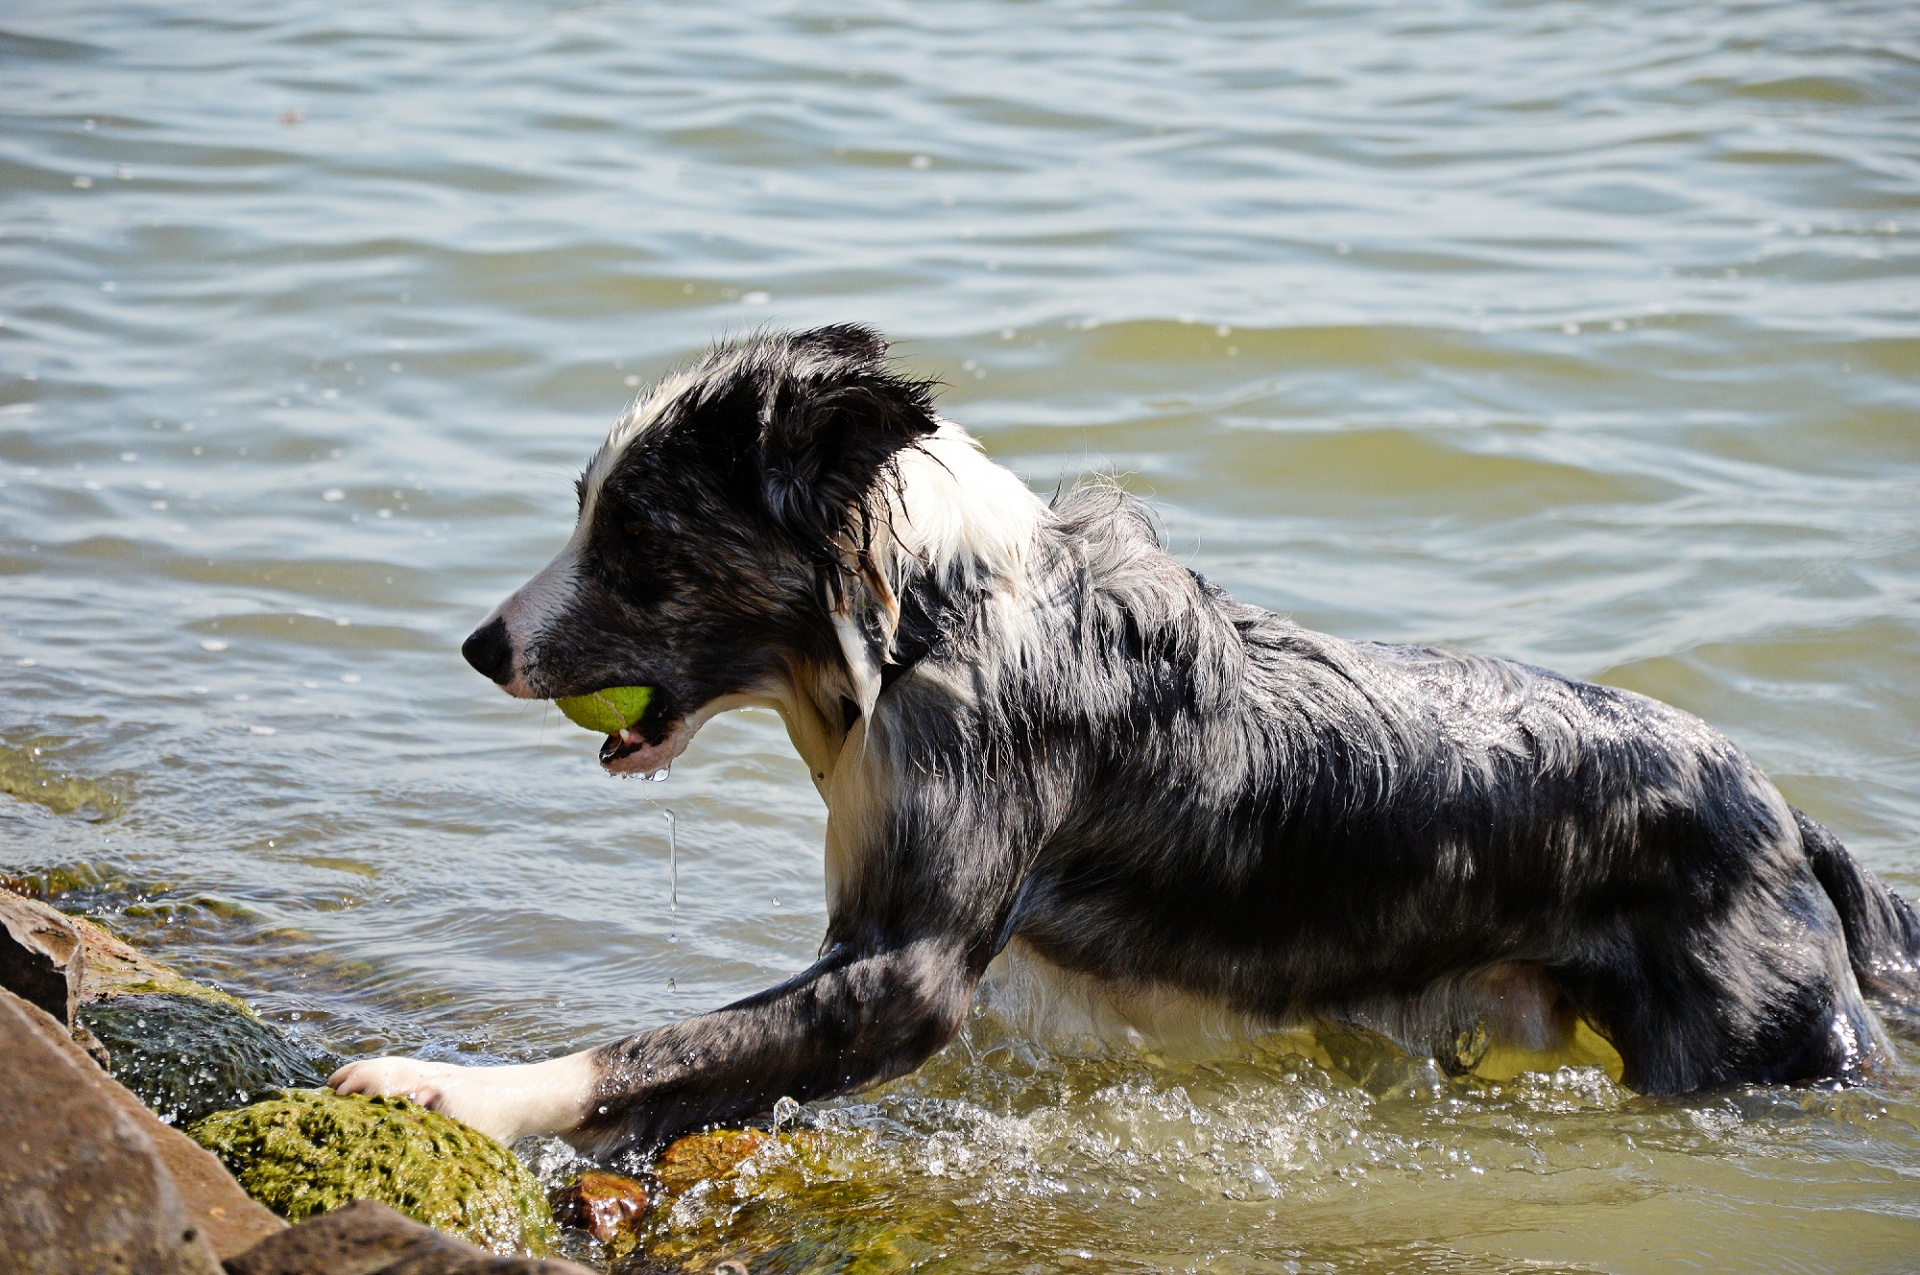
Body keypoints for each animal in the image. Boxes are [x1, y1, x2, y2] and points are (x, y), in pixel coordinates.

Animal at [337, 320, 1920, 1152]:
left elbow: (657, 1041)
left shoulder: (907, 969)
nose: (481, 646)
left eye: (639, 538)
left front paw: (449, 1086)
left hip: (1751, 1047)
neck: (926, 619)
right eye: (587, 508)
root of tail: (1786, 813)